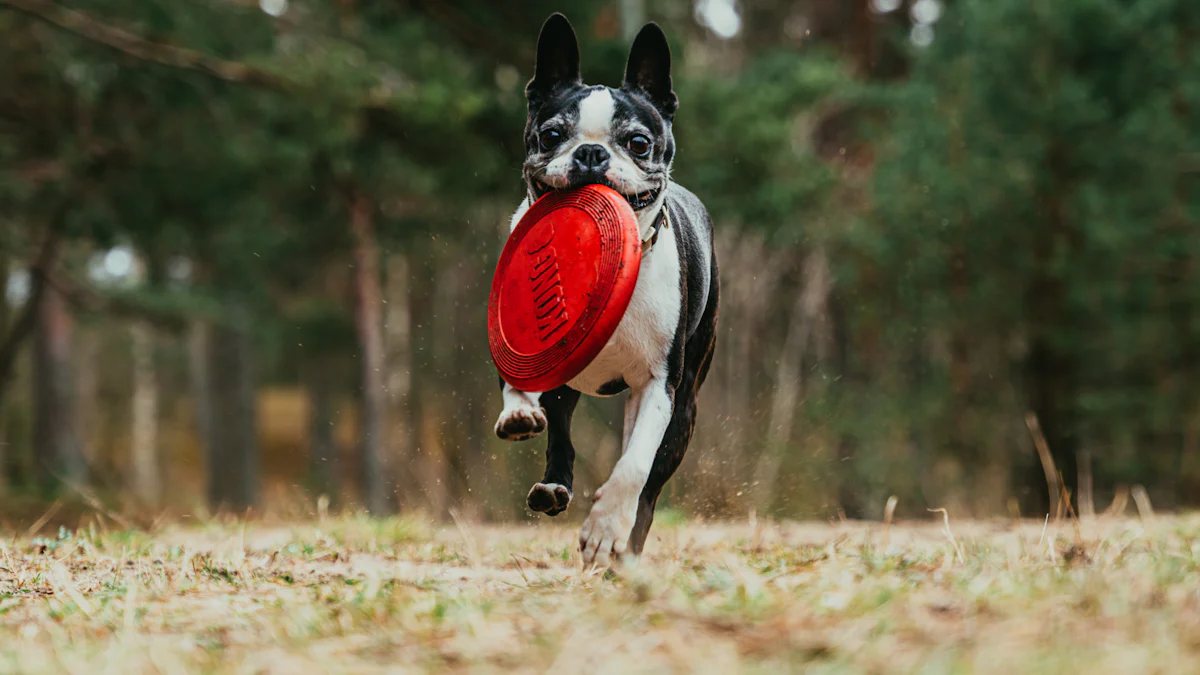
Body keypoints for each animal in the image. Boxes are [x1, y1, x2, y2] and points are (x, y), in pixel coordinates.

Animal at [492, 13, 715, 564]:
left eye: (638, 143)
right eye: (551, 135)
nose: (591, 153)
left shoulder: (660, 385)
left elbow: (633, 465)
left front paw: (605, 528)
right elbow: (515, 379)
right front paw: (518, 410)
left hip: (686, 407)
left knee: (650, 485)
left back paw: (626, 548)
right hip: (569, 383)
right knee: (561, 435)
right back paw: (552, 486)